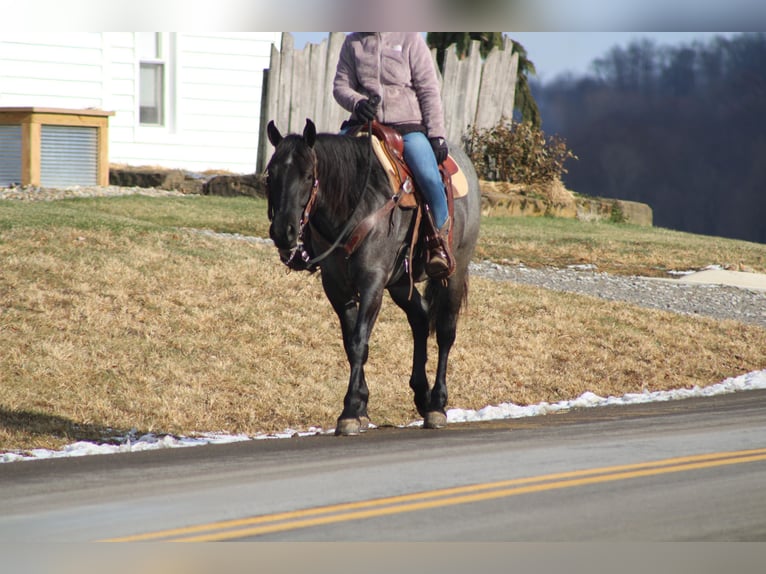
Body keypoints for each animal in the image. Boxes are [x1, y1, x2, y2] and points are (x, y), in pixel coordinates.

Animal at [265, 118, 480, 435]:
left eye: (307, 176)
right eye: (271, 175)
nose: (284, 232)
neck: (354, 204)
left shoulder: (372, 282)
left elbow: (359, 341)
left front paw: (350, 411)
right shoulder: (336, 288)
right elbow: (350, 342)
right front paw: (361, 407)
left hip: (453, 273)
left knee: (444, 331)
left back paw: (437, 405)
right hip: (400, 282)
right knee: (420, 318)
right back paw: (421, 394)